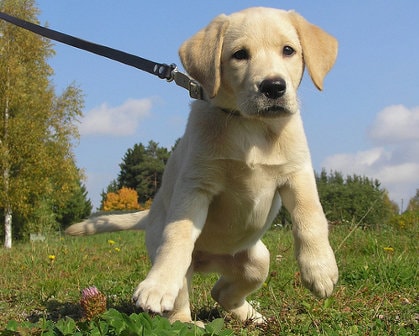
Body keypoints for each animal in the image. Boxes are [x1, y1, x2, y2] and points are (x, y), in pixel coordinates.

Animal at [67, 6, 340, 324]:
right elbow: (178, 235)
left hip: (257, 260)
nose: (273, 87)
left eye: (288, 50)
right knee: (181, 297)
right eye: (239, 55)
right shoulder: (196, 186)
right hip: (181, 260)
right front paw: (156, 285)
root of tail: (211, 261)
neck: (249, 125)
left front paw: (320, 269)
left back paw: (251, 315)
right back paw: (185, 318)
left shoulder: (297, 173)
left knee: (221, 292)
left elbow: (311, 217)